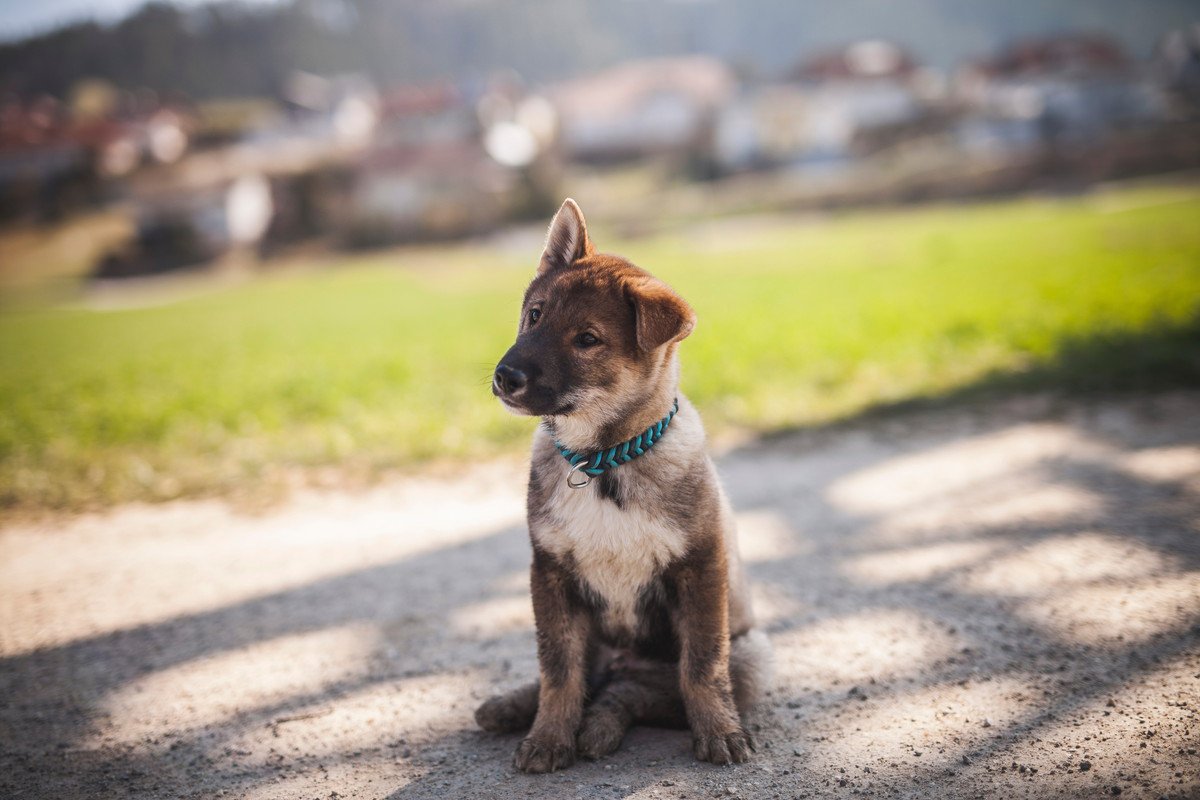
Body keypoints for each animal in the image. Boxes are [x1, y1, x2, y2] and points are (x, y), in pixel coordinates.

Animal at [472, 200, 772, 777]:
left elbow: (701, 668)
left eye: (587, 339)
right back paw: (514, 706)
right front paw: (547, 736)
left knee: (642, 693)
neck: (600, 462)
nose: (504, 377)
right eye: (535, 314)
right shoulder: (550, 575)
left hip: (752, 656)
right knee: (583, 679)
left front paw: (720, 734)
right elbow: (558, 672)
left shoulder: (701, 568)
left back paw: (602, 726)